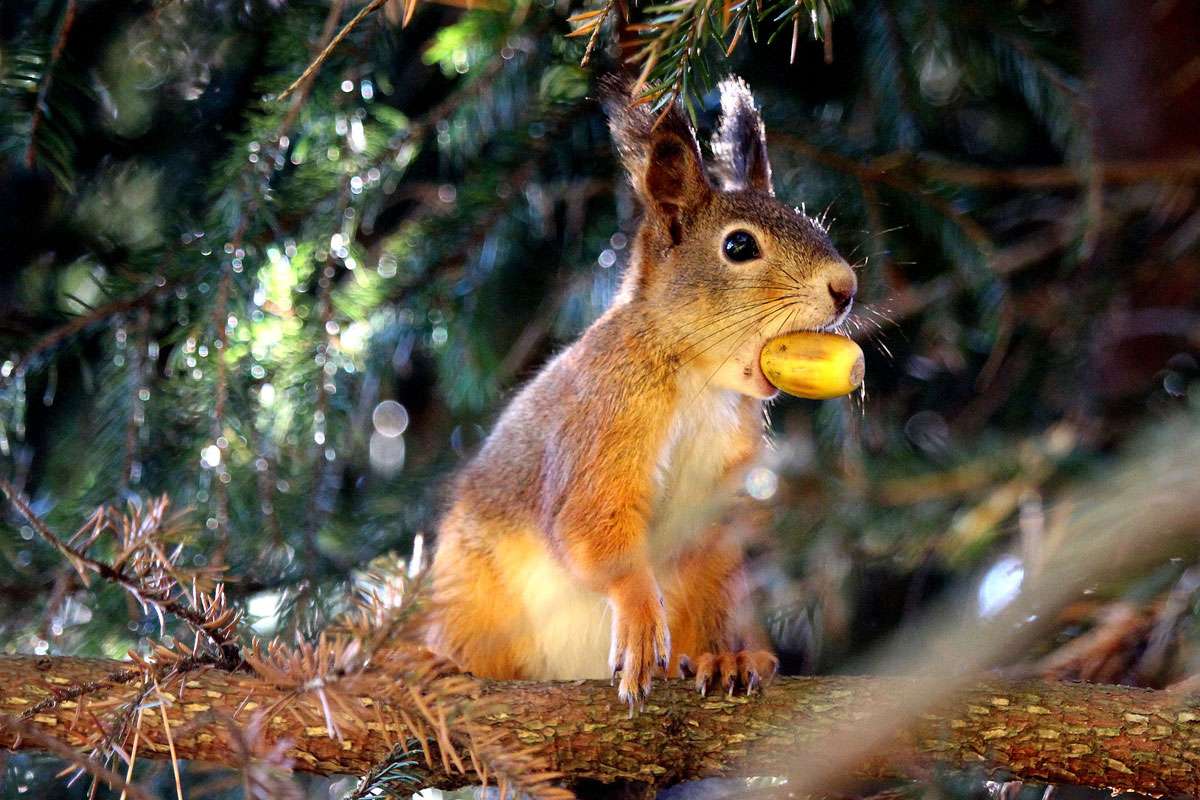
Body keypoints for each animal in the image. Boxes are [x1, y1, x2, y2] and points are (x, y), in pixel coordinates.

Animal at [427, 76, 859, 705]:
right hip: (475, 600)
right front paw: (638, 617)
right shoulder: (603, 421)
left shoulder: (720, 505)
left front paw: (724, 658)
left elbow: (714, 580)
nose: (846, 288)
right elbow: (594, 529)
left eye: (816, 226)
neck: (701, 383)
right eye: (739, 247)